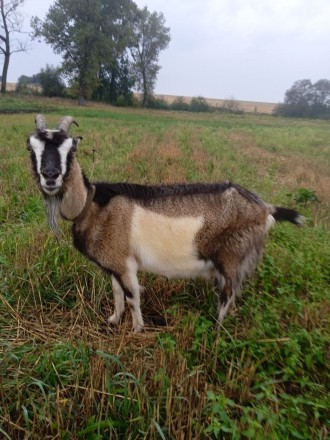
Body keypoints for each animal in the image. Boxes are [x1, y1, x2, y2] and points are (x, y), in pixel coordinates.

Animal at [26, 115, 304, 332]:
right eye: (31, 148)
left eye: (71, 149)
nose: (50, 177)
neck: (92, 205)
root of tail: (266, 209)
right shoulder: (114, 262)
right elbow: (117, 293)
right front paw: (113, 320)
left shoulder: (126, 264)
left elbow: (132, 296)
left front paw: (137, 329)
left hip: (232, 258)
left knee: (228, 296)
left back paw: (216, 331)